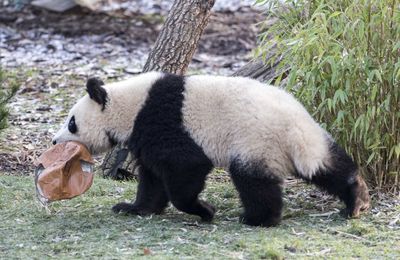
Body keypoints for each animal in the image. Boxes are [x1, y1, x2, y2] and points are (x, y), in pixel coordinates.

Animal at [51, 70, 370, 225]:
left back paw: (258, 218)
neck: (130, 105)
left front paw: (203, 210)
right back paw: (356, 197)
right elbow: (152, 178)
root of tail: (294, 128)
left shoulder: (167, 123)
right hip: (307, 140)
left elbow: (184, 168)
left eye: (72, 123)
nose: (55, 141)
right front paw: (134, 208)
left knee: (254, 181)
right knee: (325, 165)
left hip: (255, 140)